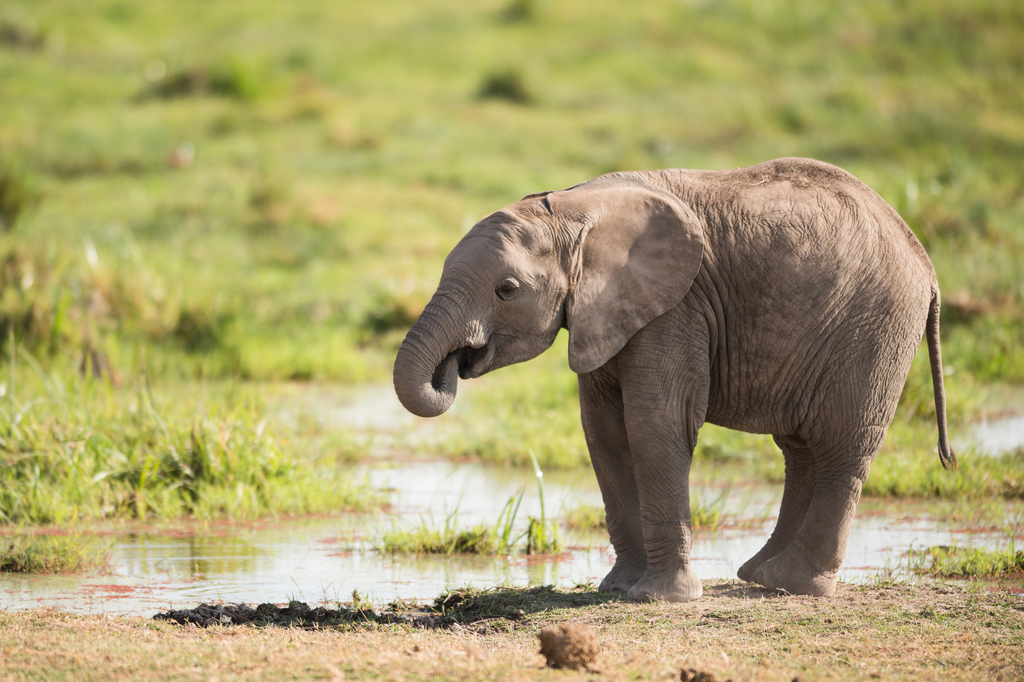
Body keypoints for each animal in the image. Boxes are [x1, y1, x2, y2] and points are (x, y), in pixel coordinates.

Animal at [393, 157, 956, 601]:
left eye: (506, 290)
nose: (455, 363)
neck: (575, 208)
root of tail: (926, 263)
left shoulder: (675, 307)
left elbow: (653, 424)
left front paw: (660, 598)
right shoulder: (610, 310)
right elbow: (604, 433)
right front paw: (619, 588)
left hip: (874, 329)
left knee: (842, 448)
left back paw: (796, 585)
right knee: (801, 451)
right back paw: (762, 576)